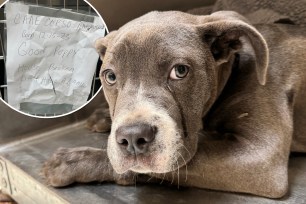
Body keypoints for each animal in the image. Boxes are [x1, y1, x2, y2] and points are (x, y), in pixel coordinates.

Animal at [42, 10, 306, 198]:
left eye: (180, 71)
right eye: (110, 76)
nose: (133, 137)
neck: (235, 68)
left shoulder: (260, 157)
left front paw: (73, 161)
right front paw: (103, 116)